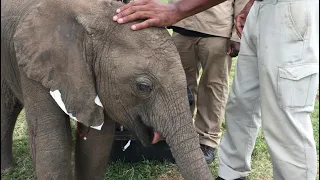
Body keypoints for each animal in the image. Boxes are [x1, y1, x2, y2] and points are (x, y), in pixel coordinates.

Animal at [1, 0, 212, 179]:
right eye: (143, 87)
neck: (96, 16)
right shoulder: (37, 65)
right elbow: (51, 144)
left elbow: (96, 145)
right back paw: (7, 169)